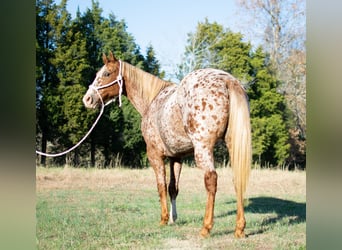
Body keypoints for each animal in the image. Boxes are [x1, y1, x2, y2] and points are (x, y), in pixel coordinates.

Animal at [83, 51, 251, 237]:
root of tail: (227, 81)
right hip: (232, 145)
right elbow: (173, 188)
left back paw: (206, 227)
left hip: (203, 148)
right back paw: (239, 228)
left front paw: (164, 219)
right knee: (238, 180)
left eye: (106, 73)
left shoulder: (155, 155)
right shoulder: (176, 157)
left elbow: (161, 185)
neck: (152, 100)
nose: (87, 99)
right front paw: (173, 218)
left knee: (211, 180)